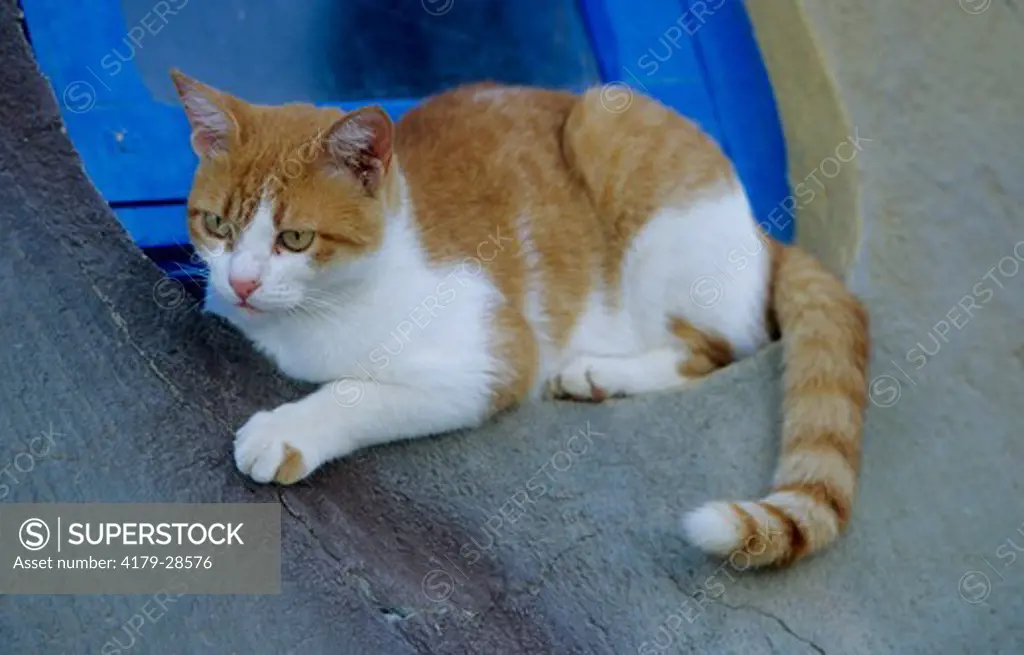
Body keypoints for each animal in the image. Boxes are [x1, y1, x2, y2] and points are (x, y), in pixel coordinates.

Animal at [172, 69, 868, 564]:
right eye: (217, 226)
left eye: (294, 239)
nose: (241, 282)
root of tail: (762, 233)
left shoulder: (493, 357)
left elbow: (357, 392)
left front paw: (287, 431)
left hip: (611, 135)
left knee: (719, 347)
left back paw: (599, 373)